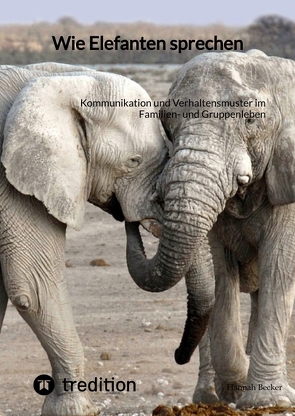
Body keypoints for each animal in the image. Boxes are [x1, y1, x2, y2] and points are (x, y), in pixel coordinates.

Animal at [126, 49, 295, 410]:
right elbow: (218, 273)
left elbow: (279, 266)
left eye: (251, 119)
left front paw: (264, 401)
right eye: (167, 121)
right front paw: (238, 388)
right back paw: (210, 395)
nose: (178, 355)